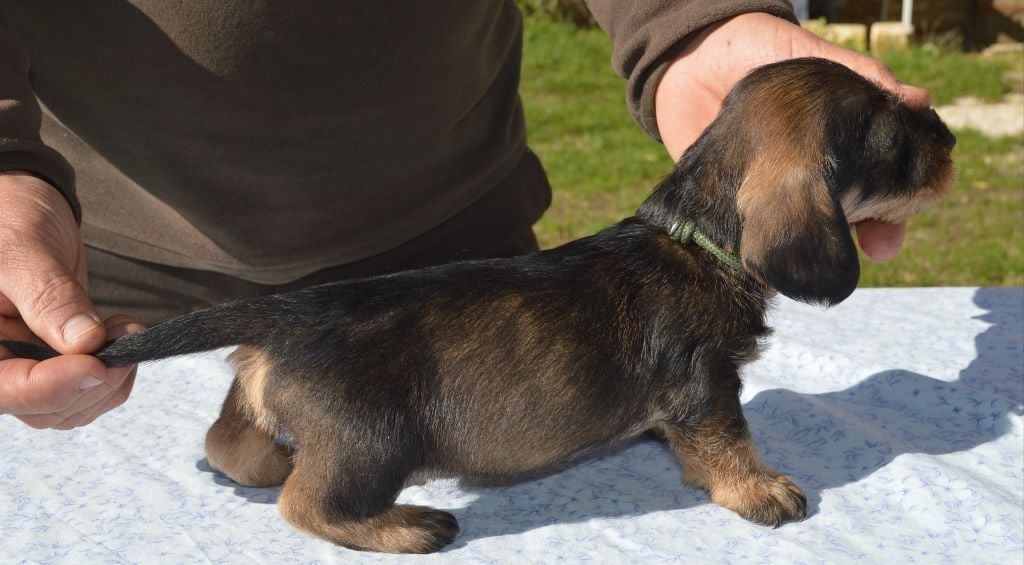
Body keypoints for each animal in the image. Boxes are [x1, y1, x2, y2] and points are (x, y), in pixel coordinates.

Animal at [3, 58, 955, 553]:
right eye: (889, 134)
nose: (948, 137)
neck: (697, 233)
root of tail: (281, 315)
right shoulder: (707, 385)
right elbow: (729, 441)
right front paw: (762, 490)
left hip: (266, 408)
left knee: (231, 449)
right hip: (375, 440)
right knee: (308, 506)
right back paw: (408, 525)